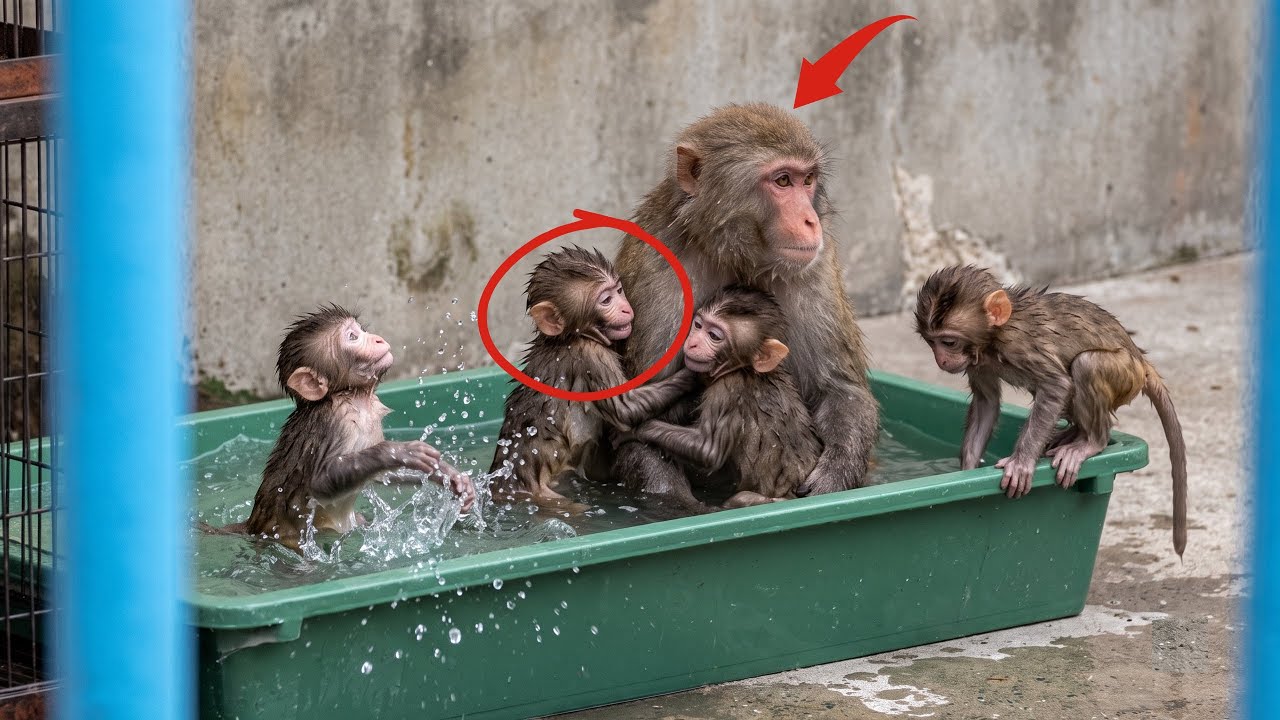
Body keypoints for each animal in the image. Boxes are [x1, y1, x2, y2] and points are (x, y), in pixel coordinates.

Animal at [214, 305, 476, 551]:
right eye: (352, 337)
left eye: (361, 330)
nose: (377, 339)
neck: (353, 397)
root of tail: (253, 526)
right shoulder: (334, 422)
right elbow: (319, 482)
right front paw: (401, 451)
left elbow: (382, 475)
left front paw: (449, 475)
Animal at [488, 246, 697, 508]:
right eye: (606, 300)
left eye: (619, 291)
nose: (626, 308)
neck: (568, 337)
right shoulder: (592, 356)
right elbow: (625, 408)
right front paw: (692, 374)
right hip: (542, 495)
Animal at [631, 286, 822, 509]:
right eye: (698, 325)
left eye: (714, 336)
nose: (693, 343)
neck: (747, 369)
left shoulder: (728, 388)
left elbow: (707, 448)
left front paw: (637, 430)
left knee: (742, 497)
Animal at [914, 265, 1188, 556]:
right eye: (931, 342)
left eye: (949, 342)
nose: (941, 361)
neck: (994, 338)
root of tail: (1140, 360)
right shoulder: (977, 361)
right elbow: (987, 402)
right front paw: (967, 472)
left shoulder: (1022, 345)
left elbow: (1057, 385)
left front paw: (1021, 463)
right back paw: (1074, 434)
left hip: (1124, 375)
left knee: (1086, 363)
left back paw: (1090, 442)